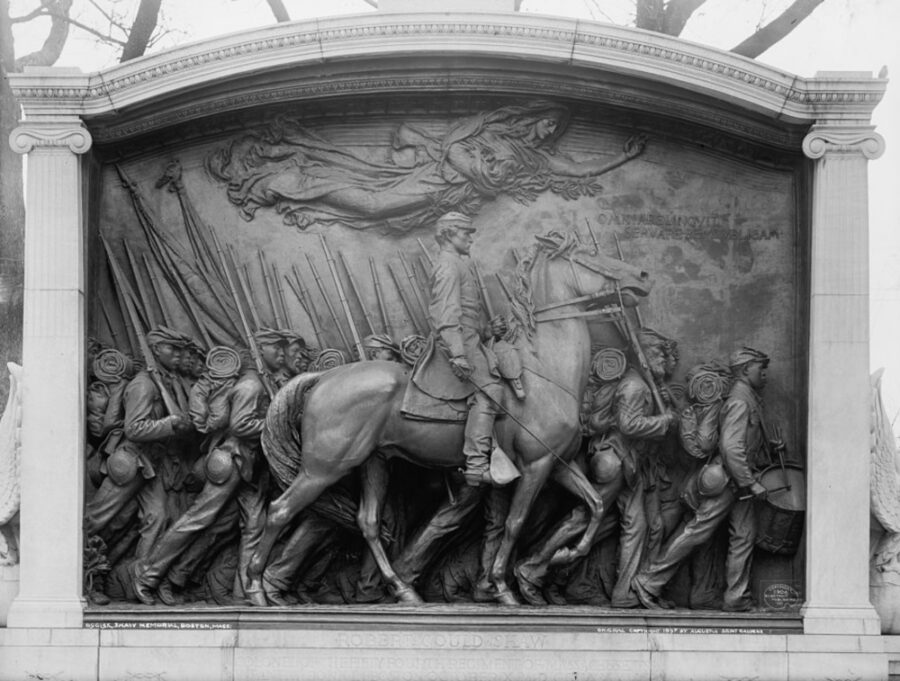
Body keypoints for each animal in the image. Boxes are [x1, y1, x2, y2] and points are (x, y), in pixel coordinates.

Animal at [250, 231, 652, 604]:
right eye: (588, 255)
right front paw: (503, 587)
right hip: (324, 467)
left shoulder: (557, 463)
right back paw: (257, 589)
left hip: (373, 462)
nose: (643, 276)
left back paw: (403, 590)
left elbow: (594, 505)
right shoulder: (535, 465)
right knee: (279, 511)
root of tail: (323, 378)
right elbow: (514, 524)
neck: (544, 371)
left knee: (367, 522)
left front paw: (563, 557)